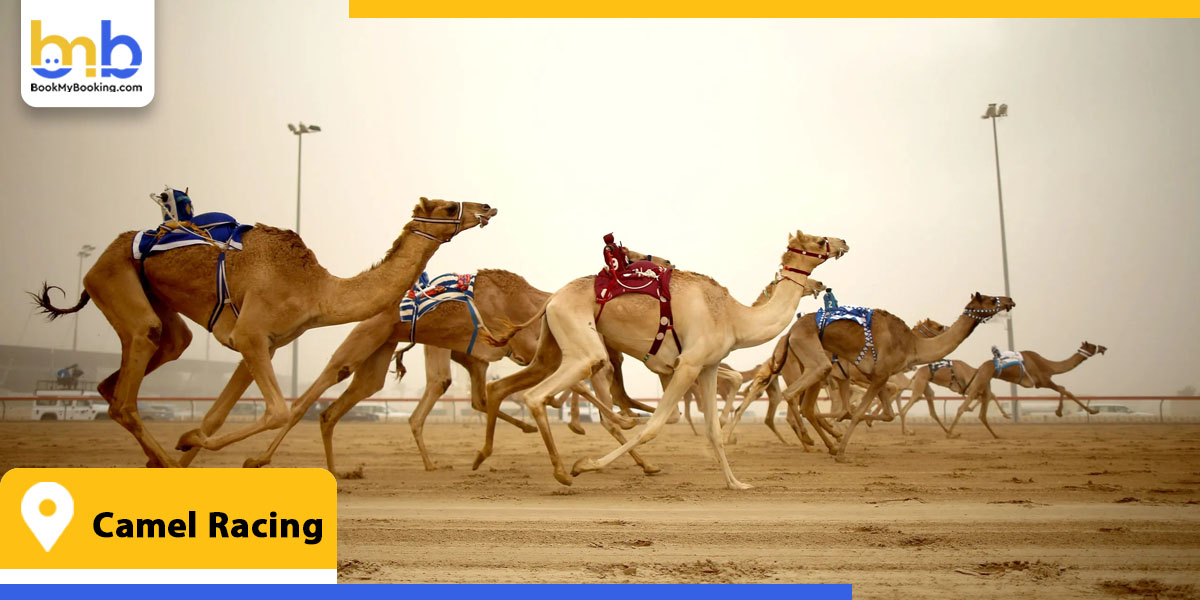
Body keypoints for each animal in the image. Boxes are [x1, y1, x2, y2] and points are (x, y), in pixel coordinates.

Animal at [32, 195, 495, 468]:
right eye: (447, 207)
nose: (487, 207)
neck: (316, 290)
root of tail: (109, 250)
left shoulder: (264, 345)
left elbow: (217, 416)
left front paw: (188, 442)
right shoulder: (250, 335)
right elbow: (278, 411)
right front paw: (189, 442)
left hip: (153, 300)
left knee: (142, 366)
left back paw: (156, 457)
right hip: (112, 277)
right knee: (128, 392)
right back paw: (159, 458)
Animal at [475, 230, 847, 490]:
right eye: (820, 240)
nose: (842, 242)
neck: (733, 317)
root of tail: (552, 299)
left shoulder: (708, 366)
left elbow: (712, 429)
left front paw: (736, 483)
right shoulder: (688, 364)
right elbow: (656, 425)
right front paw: (587, 465)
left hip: (551, 346)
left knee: (510, 388)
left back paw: (489, 456)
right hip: (583, 345)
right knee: (538, 394)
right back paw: (565, 472)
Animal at [745, 293, 1014, 461]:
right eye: (990, 298)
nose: (1009, 300)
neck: (911, 345)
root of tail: (788, 335)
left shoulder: (879, 376)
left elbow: (882, 413)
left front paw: (844, 435)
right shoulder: (877, 374)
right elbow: (857, 412)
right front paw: (842, 450)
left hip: (818, 371)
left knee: (807, 408)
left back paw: (824, 442)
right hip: (815, 364)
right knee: (793, 399)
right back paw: (811, 440)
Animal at [945, 341, 1107, 438]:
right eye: (1091, 345)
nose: (1103, 347)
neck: (1049, 365)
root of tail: (979, 367)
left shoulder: (1043, 381)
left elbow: (1063, 390)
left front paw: (1059, 412)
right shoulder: (1043, 380)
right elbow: (1064, 389)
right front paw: (1092, 411)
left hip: (983, 382)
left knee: (981, 412)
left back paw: (996, 435)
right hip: (981, 381)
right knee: (962, 407)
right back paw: (950, 433)